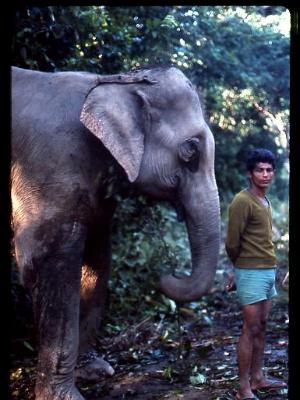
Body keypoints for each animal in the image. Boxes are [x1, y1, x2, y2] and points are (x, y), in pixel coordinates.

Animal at [11, 64, 220, 398]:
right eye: (191, 151)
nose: (164, 276)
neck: (115, 83)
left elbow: (98, 256)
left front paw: (95, 371)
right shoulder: (48, 167)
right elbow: (45, 262)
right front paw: (66, 396)